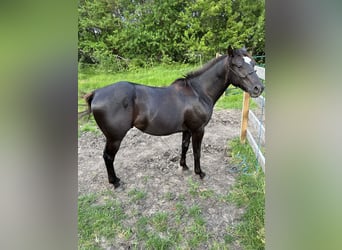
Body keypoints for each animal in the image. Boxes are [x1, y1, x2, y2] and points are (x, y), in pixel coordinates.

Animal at [82, 46, 264, 188]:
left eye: (253, 63)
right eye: (237, 65)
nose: (258, 88)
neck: (198, 92)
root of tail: (96, 93)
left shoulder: (187, 130)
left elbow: (184, 147)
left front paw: (183, 166)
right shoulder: (198, 130)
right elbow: (197, 152)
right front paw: (200, 173)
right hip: (114, 138)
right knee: (108, 157)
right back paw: (115, 182)